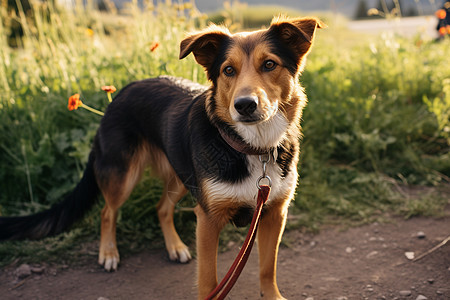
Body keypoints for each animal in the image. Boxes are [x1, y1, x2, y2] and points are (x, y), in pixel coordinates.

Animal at [0, 15, 324, 298]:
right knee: (107, 212)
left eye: (269, 64)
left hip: (181, 176)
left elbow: (267, 270)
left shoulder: (274, 214)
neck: (251, 147)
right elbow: (209, 280)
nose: (244, 105)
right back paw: (109, 253)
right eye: (228, 71)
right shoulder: (208, 220)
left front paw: (273, 296)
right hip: (123, 175)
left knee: (161, 209)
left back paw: (174, 247)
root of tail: (119, 94)